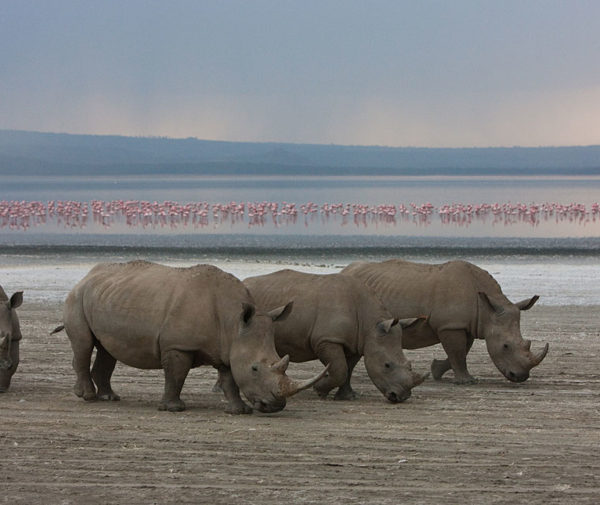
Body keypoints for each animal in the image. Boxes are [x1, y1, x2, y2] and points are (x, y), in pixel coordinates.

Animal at [241, 270, 428, 404]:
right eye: (387, 365)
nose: (401, 397)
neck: (371, 324)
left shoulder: (356, 342)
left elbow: (348, 369)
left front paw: (347, 397)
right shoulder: (327, 339)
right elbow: (340, 369)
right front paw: (320, 390)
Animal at [342, 258, 548, 384]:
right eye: (505, 346)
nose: (520, 376)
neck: (486, 308)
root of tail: (346, 269)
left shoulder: (466, 324)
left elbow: (461, 351)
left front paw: (437, 371)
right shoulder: (450, 325)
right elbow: (457, 352)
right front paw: (467, 382)